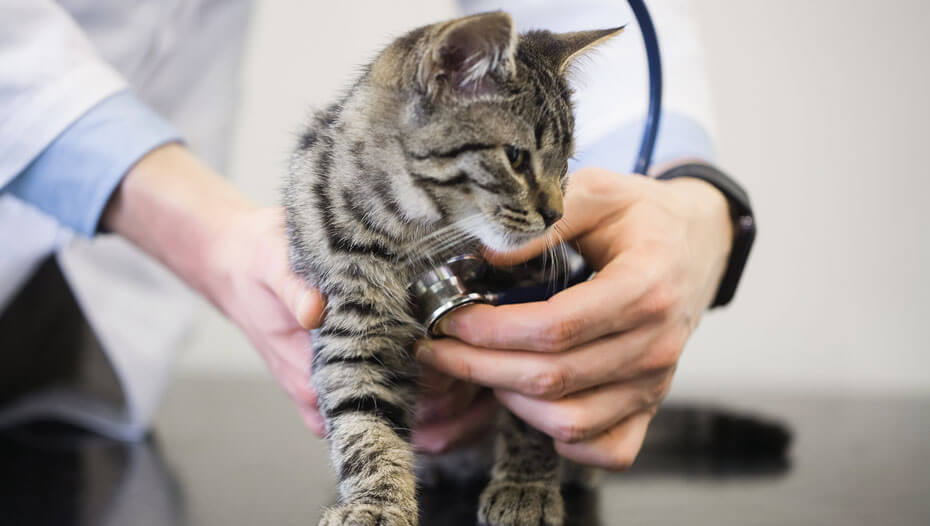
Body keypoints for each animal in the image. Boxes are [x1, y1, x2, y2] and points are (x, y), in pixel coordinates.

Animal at [280, 12, 616, 526]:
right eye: (515, 157)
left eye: (567, 162)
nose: (556, 215)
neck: (407, 234)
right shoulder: (349, 332)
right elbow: (364, 425)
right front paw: (377, 502)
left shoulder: (535, 302)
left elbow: (530, 417)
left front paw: (526, 485)